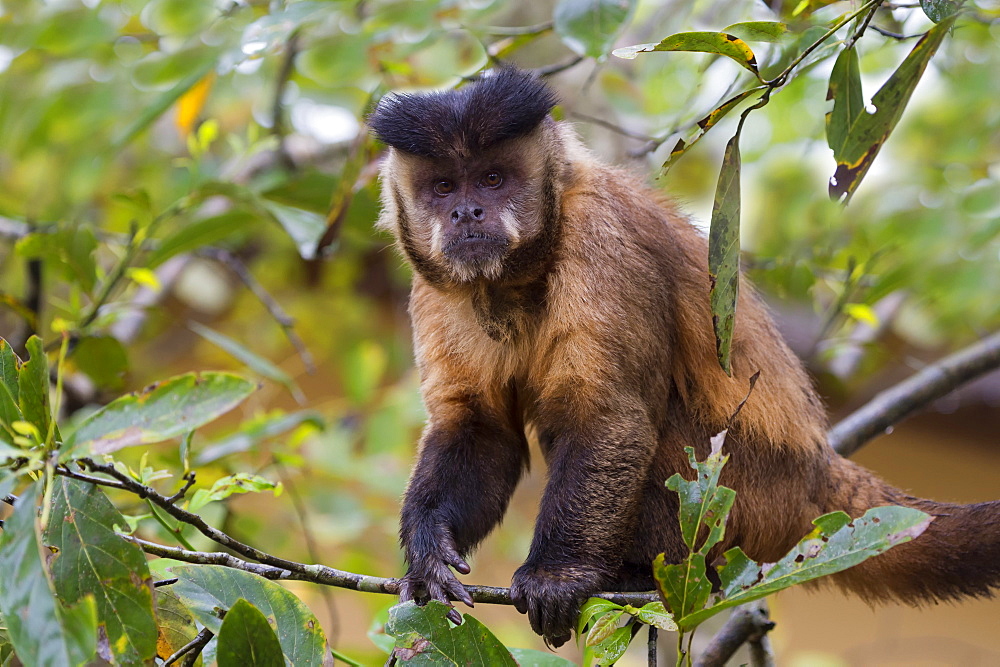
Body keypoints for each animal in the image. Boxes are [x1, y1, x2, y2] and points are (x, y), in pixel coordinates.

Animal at [366, 68, 1000, 648]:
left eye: (493, 179)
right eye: (444, 187)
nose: (467, 214)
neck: (518, 277)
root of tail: (814, 467)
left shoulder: (603, 236)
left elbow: (610, 415)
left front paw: (557, 575)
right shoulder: (435, 287)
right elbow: (480, 427)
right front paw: (427, 552)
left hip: (751, 494)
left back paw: (643, 575)